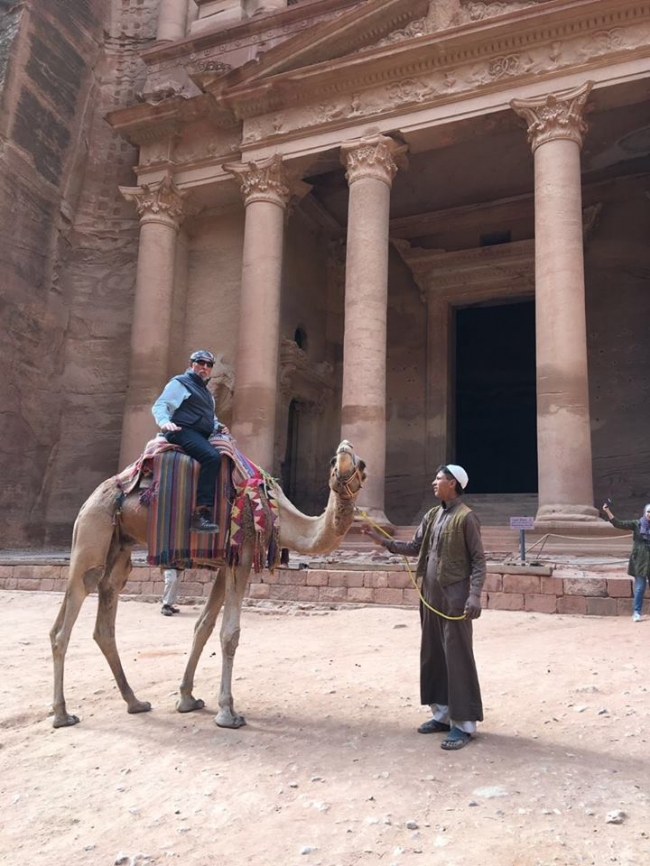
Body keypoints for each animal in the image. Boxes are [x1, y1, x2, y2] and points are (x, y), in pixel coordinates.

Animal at [49, 438, 364, 728]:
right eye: (333, 461)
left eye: (361, 465)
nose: (345, 447)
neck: (275, 511)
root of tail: (91, 498)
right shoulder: (243, 554)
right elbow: (230, 634)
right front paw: (227, 712)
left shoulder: (227, 563)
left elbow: (203, 626)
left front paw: (187, 699)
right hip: (94, 528)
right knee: (68, 619)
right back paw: (62, 714)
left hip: (119, 546)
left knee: (102, 613)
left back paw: (134, 702)